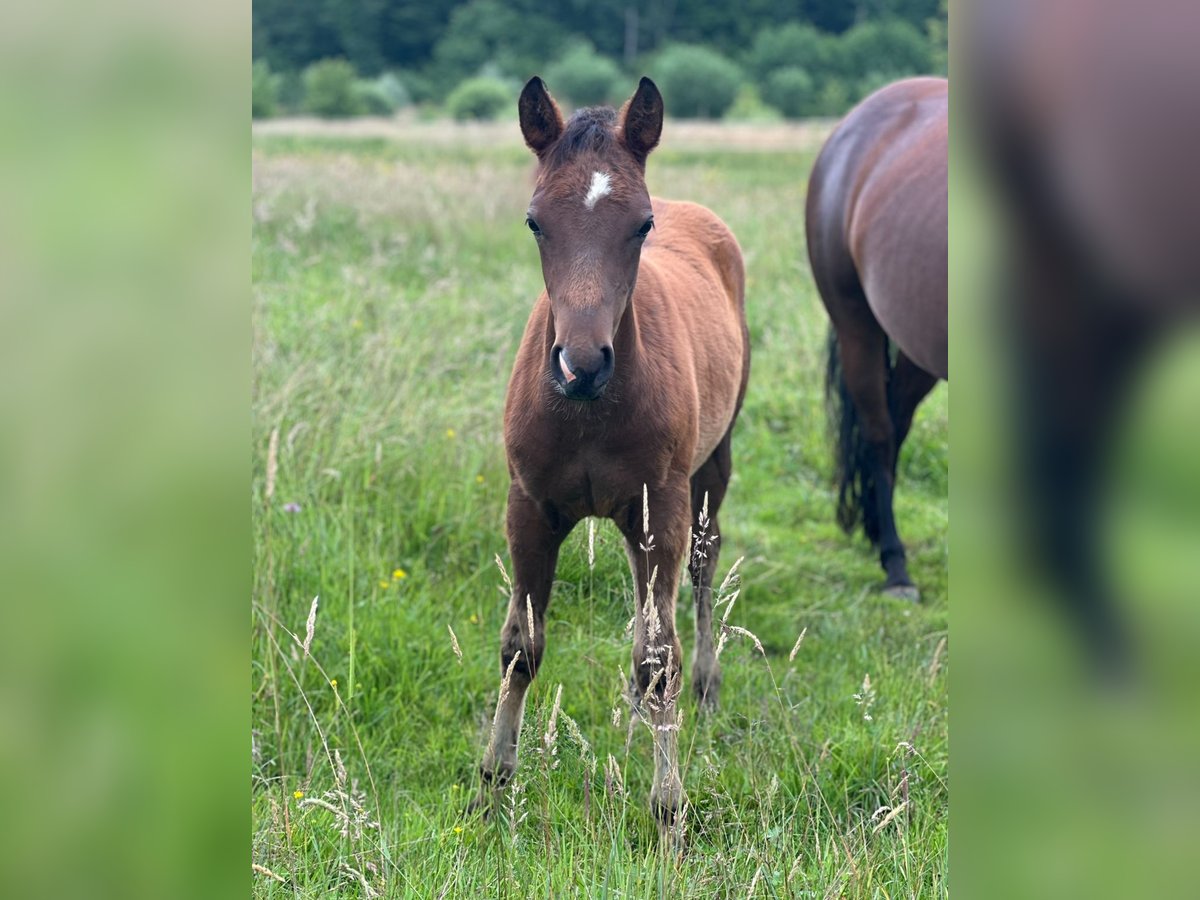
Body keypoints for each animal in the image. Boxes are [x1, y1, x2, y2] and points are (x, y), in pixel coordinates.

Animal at [475, 79, 748, 840]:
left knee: (701, 569)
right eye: (536, 222)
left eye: (642, 225)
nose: (582, 364)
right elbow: (520, 645)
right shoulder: (529, 507)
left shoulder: (665, 503)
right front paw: (492, 788)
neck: (589, 412)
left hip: (707, 470)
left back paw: (706, 686)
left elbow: (659, 657)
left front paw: (669, 813)